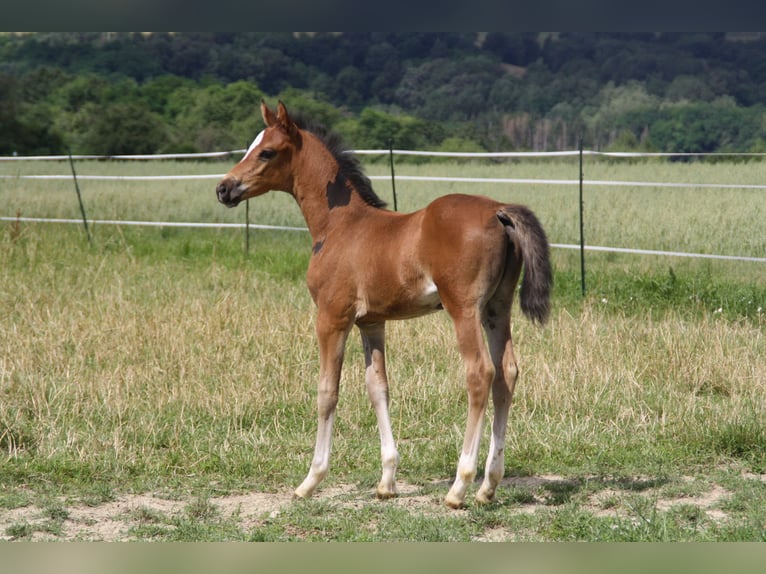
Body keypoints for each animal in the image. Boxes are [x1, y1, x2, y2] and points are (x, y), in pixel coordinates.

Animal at [216, 101, 552, 510]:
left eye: (266, 151)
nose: (223, 188)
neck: (338, 225)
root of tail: (499, 211)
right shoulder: (371, 322)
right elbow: (378, 387)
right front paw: (387, 480)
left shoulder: (332, 317)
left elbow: (327, 392)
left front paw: (310, 480)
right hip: (497, 309)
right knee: (507, 373)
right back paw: (488, 486)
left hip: (464, 308)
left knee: (480, 373)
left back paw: (460, 486)